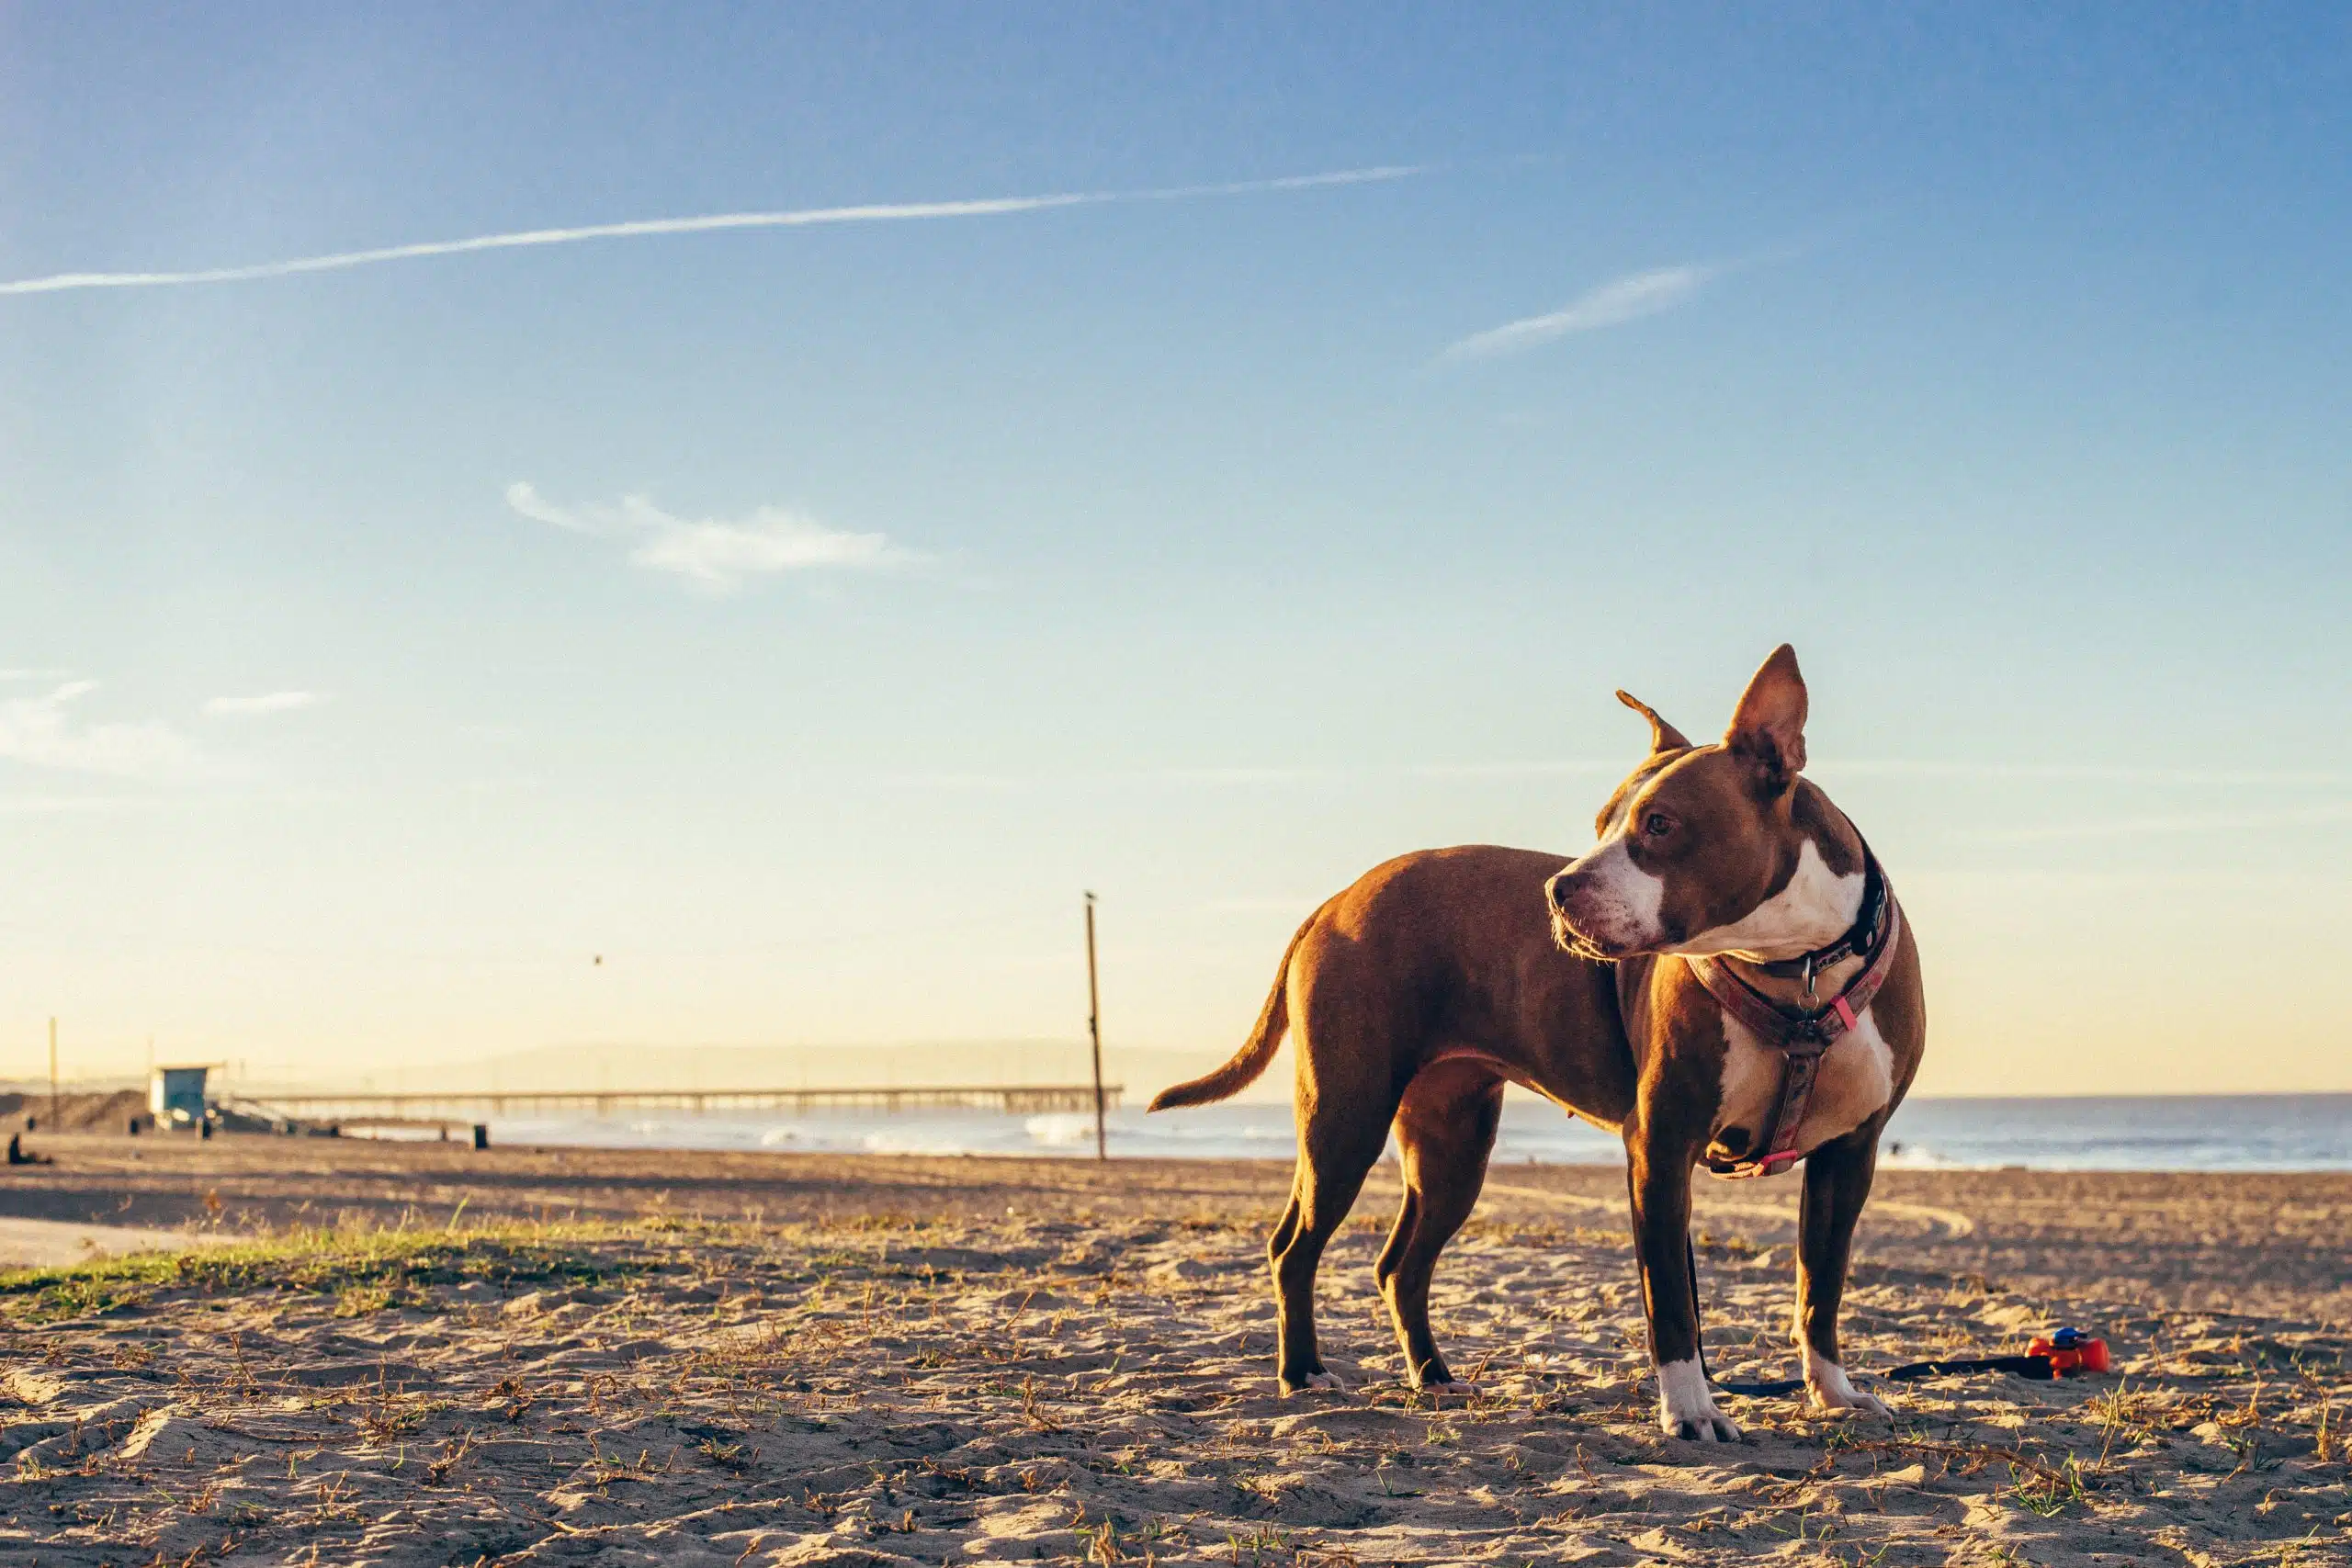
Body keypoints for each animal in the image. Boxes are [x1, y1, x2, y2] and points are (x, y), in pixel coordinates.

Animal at [1148, 644, 1918, 1438]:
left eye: (1660, 823)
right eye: (1602, 821)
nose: (1559, 889)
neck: (1795, 966)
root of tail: (1337, 900)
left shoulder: (1849, 1156)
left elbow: (1820, 1286)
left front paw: (1833, 1390)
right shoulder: (1660, 1146)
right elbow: (1673, 1300)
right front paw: (1692, 1410)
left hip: (1452, 1145)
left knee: (1401, 1265)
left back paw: (1434, 1375)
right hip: (1344, 1118)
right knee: (1294, 1247)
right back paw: (1303, 1371)